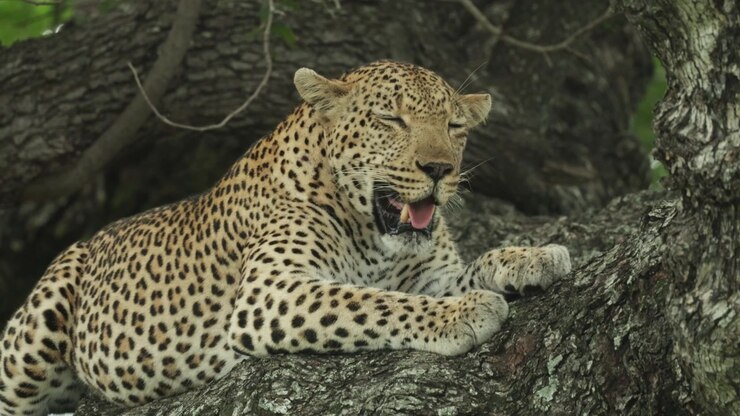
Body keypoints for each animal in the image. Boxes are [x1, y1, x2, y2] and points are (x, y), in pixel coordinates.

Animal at [0, 60, 571, 415]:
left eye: (454, 126)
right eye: (391, 119)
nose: (439, 169)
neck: (373, 236)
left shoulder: (431, 276)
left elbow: (471, 267)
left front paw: (535, 257)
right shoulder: (270, 292)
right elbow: (371, 302)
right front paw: (466, 312)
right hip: (31, 336)